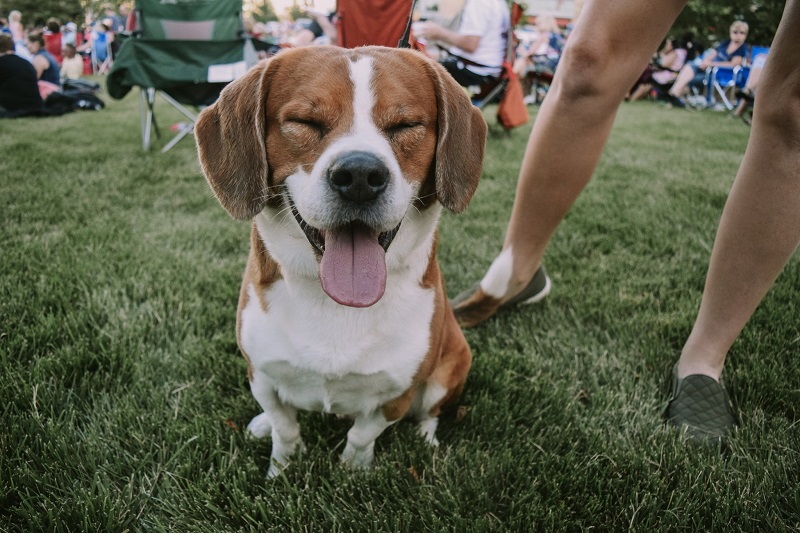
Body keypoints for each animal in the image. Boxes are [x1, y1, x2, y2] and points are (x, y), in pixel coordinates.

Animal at [196, 45, 484, 476]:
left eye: (405, 125)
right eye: (304, 122)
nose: (360, 174)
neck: (334, 304)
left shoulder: (397, 393)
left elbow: (363, 434)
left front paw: (354, 470)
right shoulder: (260, 374)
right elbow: (285, 427)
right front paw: (281, 468)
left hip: (452, 365)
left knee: (430, 410)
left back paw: (426, 438)